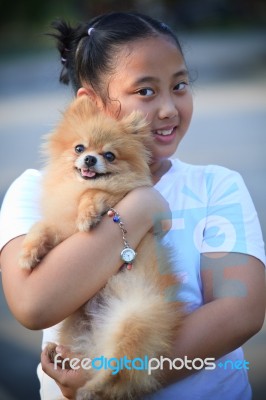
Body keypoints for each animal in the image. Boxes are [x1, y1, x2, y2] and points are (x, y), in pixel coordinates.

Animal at [19, 97, 183, 400]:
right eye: (79, 148)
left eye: (109, 155)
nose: (90, 159)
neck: (73, 190)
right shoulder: (60, 227)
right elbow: (41, 227)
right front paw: (28, 253)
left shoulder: (115, 196)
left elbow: (95, 193)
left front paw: (87, 215)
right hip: (74, 331)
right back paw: (62, 358)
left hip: (133, 319)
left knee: (120, 369)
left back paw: (93, 388)